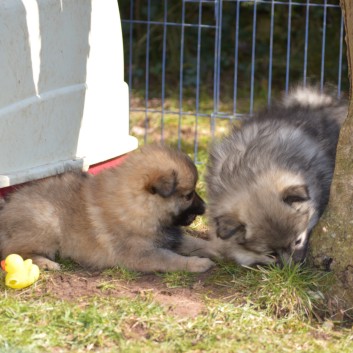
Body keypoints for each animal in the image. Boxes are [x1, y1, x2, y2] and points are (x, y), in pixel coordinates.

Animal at [0, 144, 214, 270]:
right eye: (188, 196)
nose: (205, 207)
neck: (139, 207)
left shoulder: (168, 236)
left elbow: (195, 242)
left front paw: (216, 249)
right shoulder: (140, 253)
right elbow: (170, 259)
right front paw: (196, 263)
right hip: (47, 221)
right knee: (13, 251)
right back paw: (45, 263)